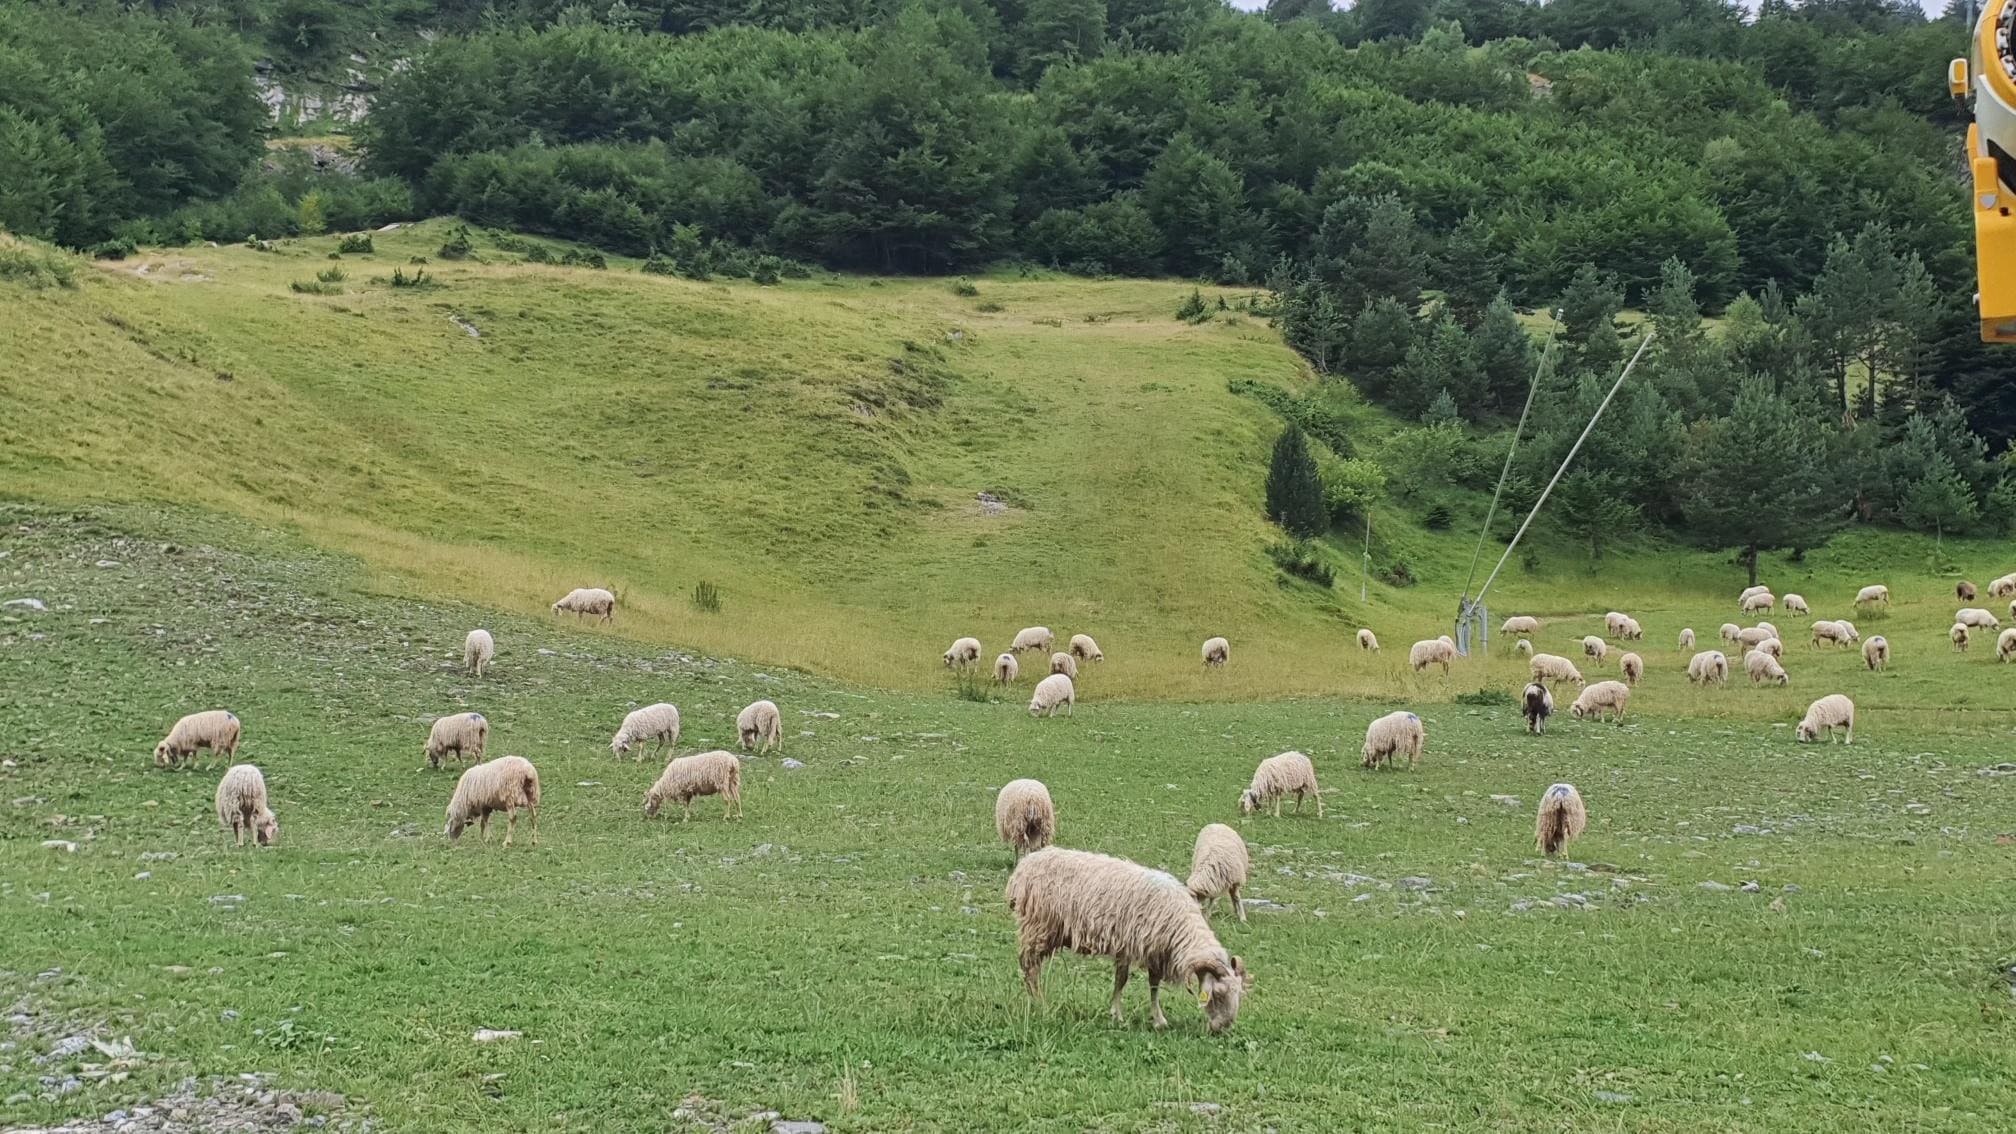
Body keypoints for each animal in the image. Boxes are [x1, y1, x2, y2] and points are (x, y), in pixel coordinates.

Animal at [1005, 847, 1250, 1033]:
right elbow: (1121, 980)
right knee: (1029, 966)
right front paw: (1117, 1015)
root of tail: (1023, 868)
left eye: (1239, 994)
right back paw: (1040, 1004)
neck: (1180, 925)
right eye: (1219, 994)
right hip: (1039, 927)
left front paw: (1158, 1019)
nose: (1222, 1028)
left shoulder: (1155, 952)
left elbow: (1154, 986)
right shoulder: (1127, 944)